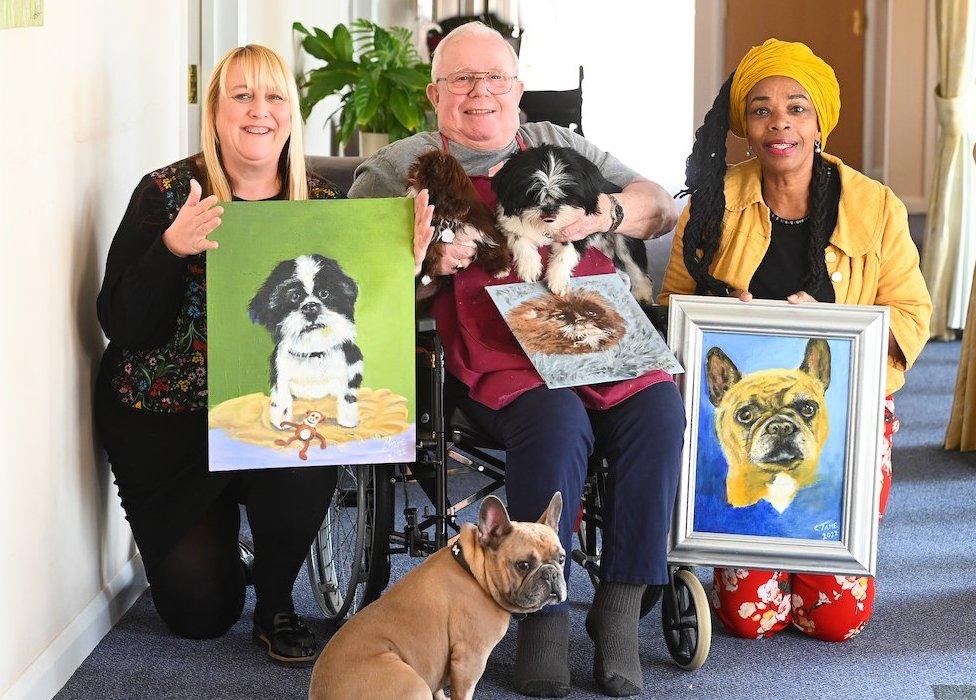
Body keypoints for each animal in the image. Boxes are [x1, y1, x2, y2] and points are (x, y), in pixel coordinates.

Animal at [312, 492, 564, 700]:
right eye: (523, 565)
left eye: (561, 558)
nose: (551, 574)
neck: (473, 572)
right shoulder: (470, 659)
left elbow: (440, 688)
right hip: (413, 682)